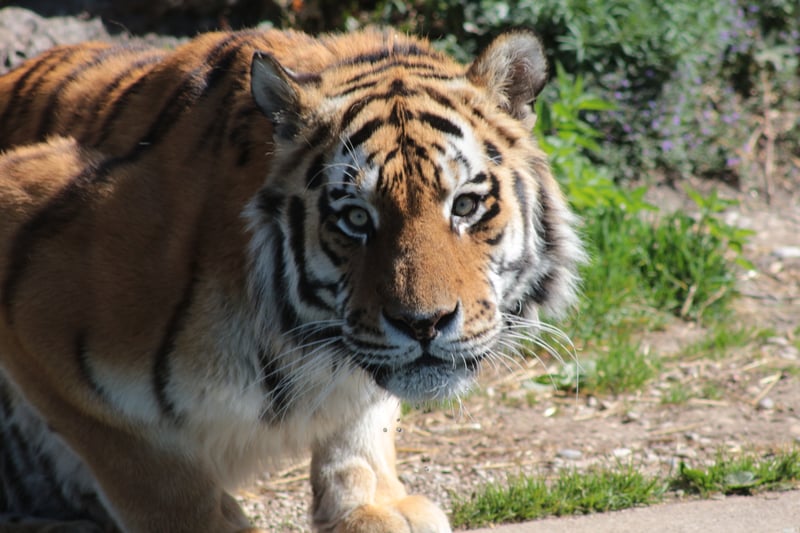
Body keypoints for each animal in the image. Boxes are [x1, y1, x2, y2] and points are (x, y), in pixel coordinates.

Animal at [0, 27, 584, 532]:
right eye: (356, 219)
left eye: (464, 205)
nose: (425, 324)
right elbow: (153, 475)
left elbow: (364, 414)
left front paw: (371, 507)